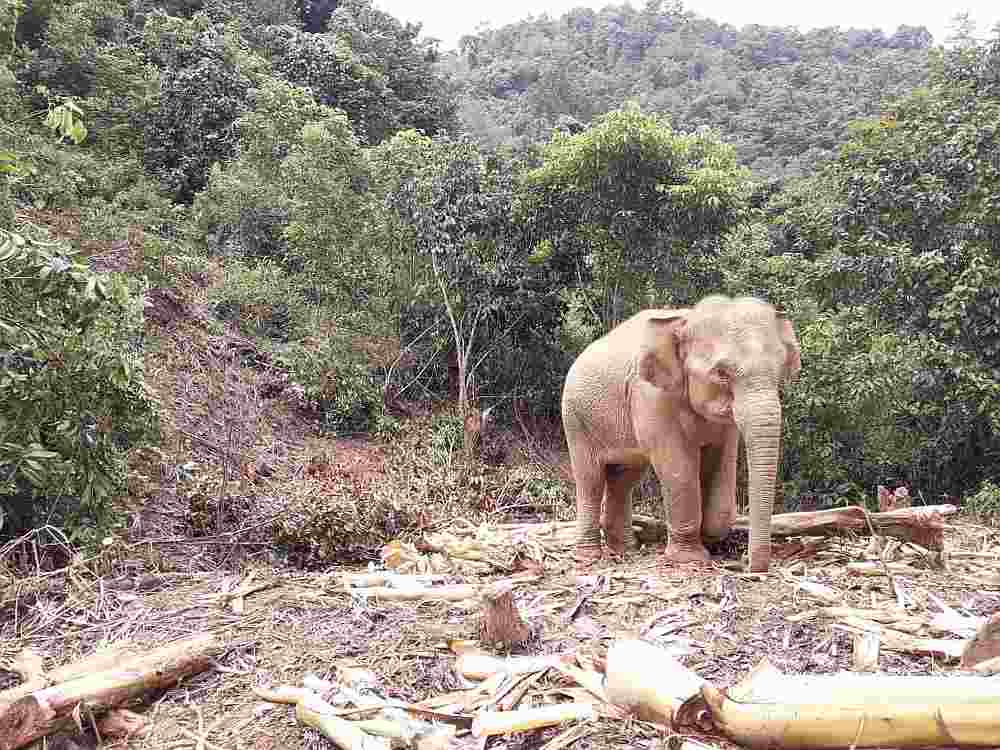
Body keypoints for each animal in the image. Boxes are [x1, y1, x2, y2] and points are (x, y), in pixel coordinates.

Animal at [560, 296, 800, 576]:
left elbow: (721, 461)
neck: (686, 318)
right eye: (721, 373)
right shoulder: (651, 396)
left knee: (625, 477)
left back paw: (626, 550)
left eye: (780, 370)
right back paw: (588, 557)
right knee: (591, 479)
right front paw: (690, 560)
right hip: (576, 420)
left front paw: (710, 539)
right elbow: (678, 468)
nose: (751, 568)